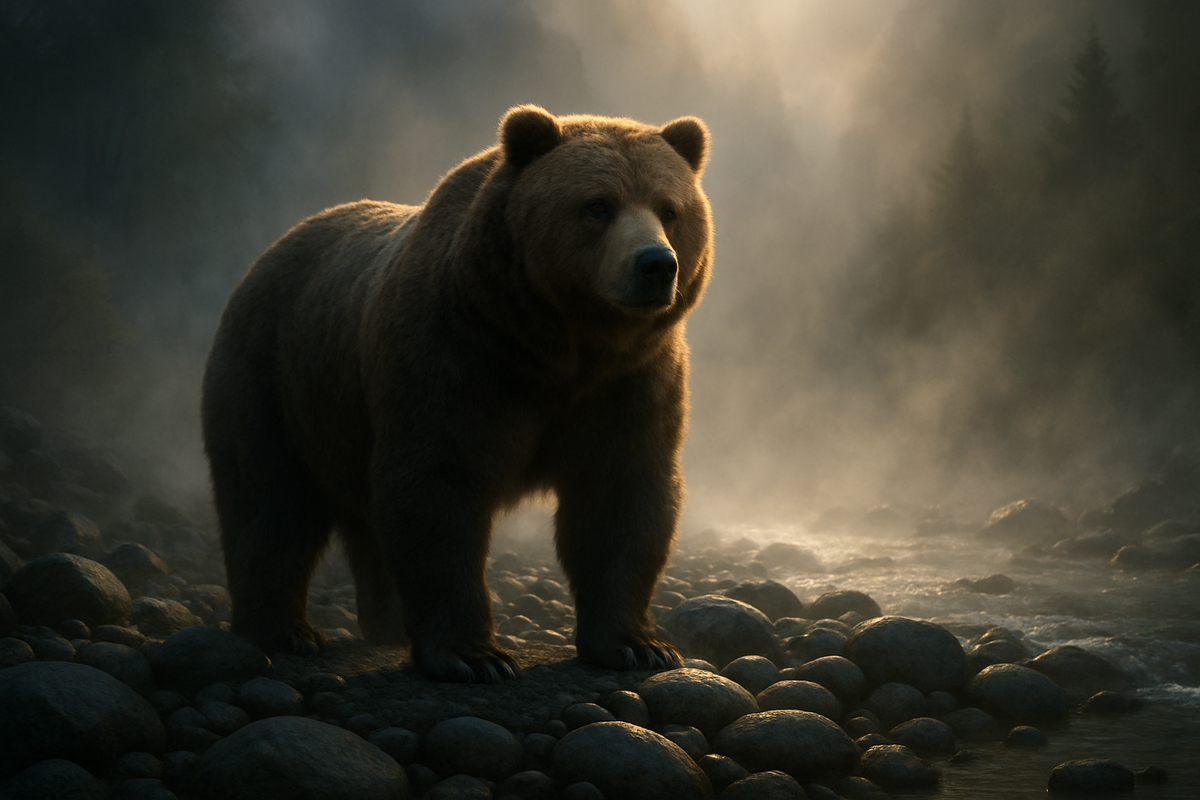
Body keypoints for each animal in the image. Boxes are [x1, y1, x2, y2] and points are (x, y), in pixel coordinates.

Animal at [201, 104, 713, 682]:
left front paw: (638, 645)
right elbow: (438, 490)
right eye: (598, 205)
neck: (559, 343)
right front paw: (475, 655)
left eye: (669, 209)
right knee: (270, 499)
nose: (655, 263)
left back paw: (387, 622)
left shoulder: (630, 381)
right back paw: (284, 630)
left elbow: (621, 495)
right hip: (275, 378)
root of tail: (266, 255)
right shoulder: (455, 359)